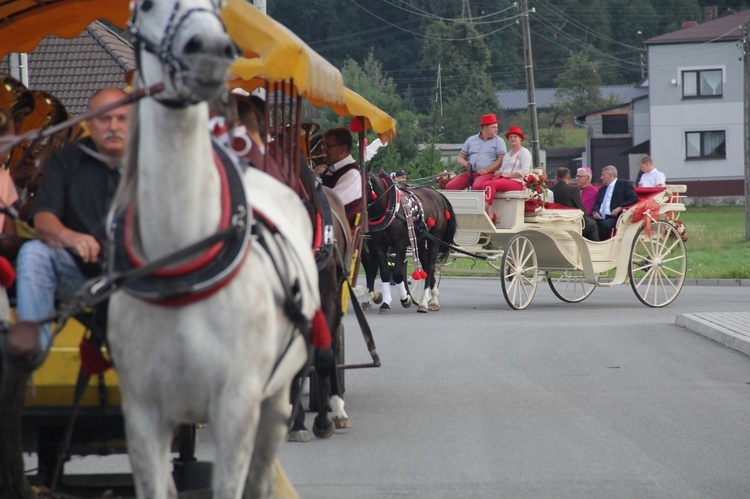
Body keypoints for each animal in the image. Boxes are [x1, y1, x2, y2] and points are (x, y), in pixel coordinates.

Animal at [105, 1, 320, 498]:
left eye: (219, 7)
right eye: (145, 5)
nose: (210, 51)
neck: (183, 266)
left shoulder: (236, 409)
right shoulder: (142, 418)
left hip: (274, 399)